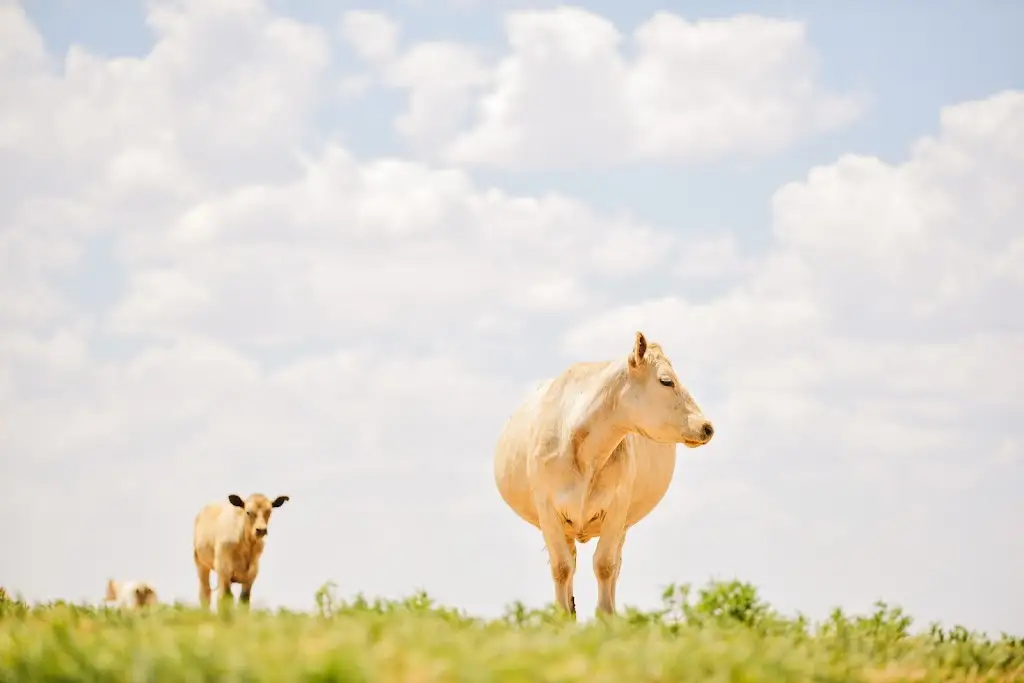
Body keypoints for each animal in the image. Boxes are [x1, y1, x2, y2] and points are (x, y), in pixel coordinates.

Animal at [493, 331, 716, 618]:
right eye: (666, 380)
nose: (707, 427)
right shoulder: (547, 509)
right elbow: (561, 567)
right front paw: (561, 617)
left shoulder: (617, 507)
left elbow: (605, 565)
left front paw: (606, 616)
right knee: (569, 563)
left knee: (613, 565)